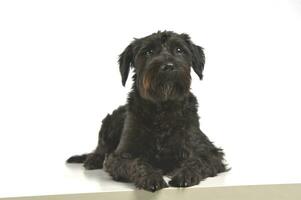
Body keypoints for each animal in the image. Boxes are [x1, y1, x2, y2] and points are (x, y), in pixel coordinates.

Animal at [67, 30, 226, 192]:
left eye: (179, 50)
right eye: (148, 52)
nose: (168, 66)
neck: (163, 108)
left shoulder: (209, 151)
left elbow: (198, 161)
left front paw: (185, 174)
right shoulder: (121, 155)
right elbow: (137, 163)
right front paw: (151, 177)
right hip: (110, 122)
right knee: (100, 148)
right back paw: (93, 160)